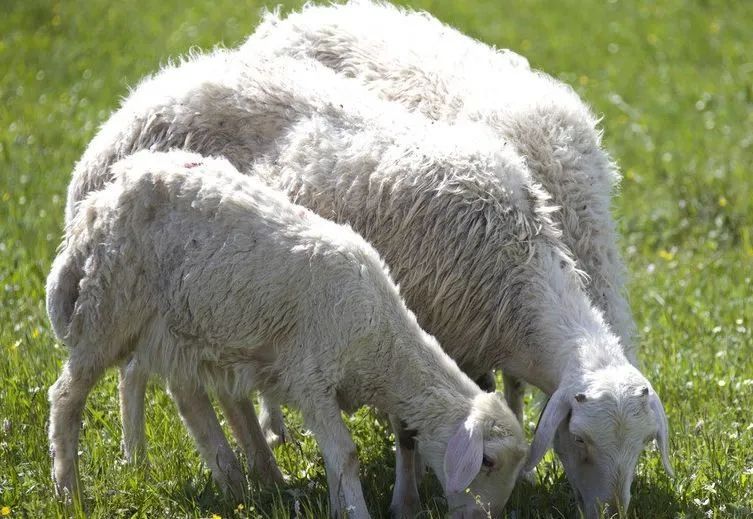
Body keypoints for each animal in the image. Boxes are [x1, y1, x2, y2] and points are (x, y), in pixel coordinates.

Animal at [48, 150, 528, 519]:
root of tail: (100, 200)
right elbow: (346, 454)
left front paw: (337, 506)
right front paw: (355, 510)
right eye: (487, 461)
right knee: (67, 397)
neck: (382, 344)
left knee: (186, 395)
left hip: (178, 324)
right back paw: (70, 494)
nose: (482, 518)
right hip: (108, 308)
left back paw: (240, 481)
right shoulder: (310, 376)